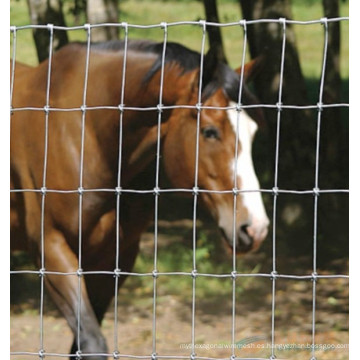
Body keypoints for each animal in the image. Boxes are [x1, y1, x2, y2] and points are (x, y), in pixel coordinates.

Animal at [9, 38, 268, 358]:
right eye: (210, 131)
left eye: (253, 132)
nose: (255, 228)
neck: (85, 132)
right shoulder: (51, 248)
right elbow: (92, 343)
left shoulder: (115, 257)